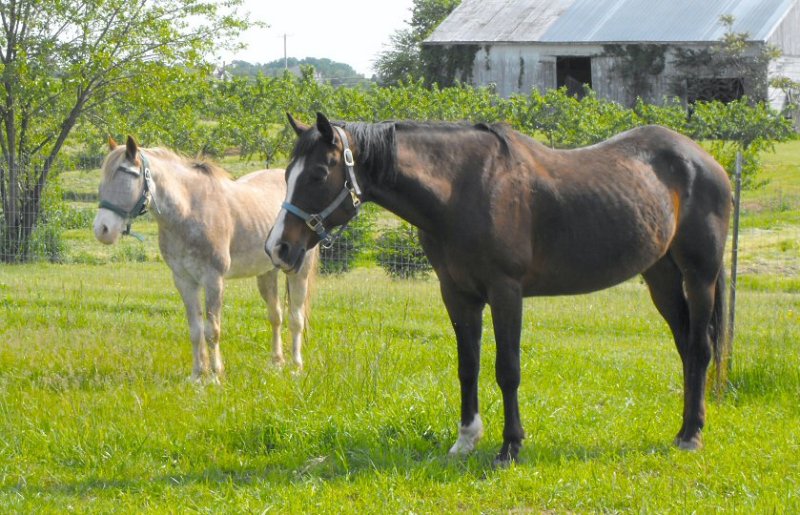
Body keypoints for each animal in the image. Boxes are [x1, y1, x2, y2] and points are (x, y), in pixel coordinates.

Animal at [94, 135, 316, 380]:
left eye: (127, 174)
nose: (102, 229)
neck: (190, 210)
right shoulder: (184, 281)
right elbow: (195, 329)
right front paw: (198, 374)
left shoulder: (213, 280)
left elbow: (212, 331)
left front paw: (216, 374)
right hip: (267, 273)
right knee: (275, 315)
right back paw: (276, 362)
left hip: (299, 272)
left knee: (296, 318)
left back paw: (296, 365)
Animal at [264, 113, 732, 468]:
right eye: (287, 174)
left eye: (319, 174)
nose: (278, 247)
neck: (464, 190)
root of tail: (704, 160)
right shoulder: (458, 295)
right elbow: (467, 366)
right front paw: (466, 439)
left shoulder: (506, 292)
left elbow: (507, 370)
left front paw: (510, 447)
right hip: (661, 277)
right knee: (686, 347)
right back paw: (685, 429)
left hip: (699, 275)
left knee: (700, 348)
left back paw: (692, 435)